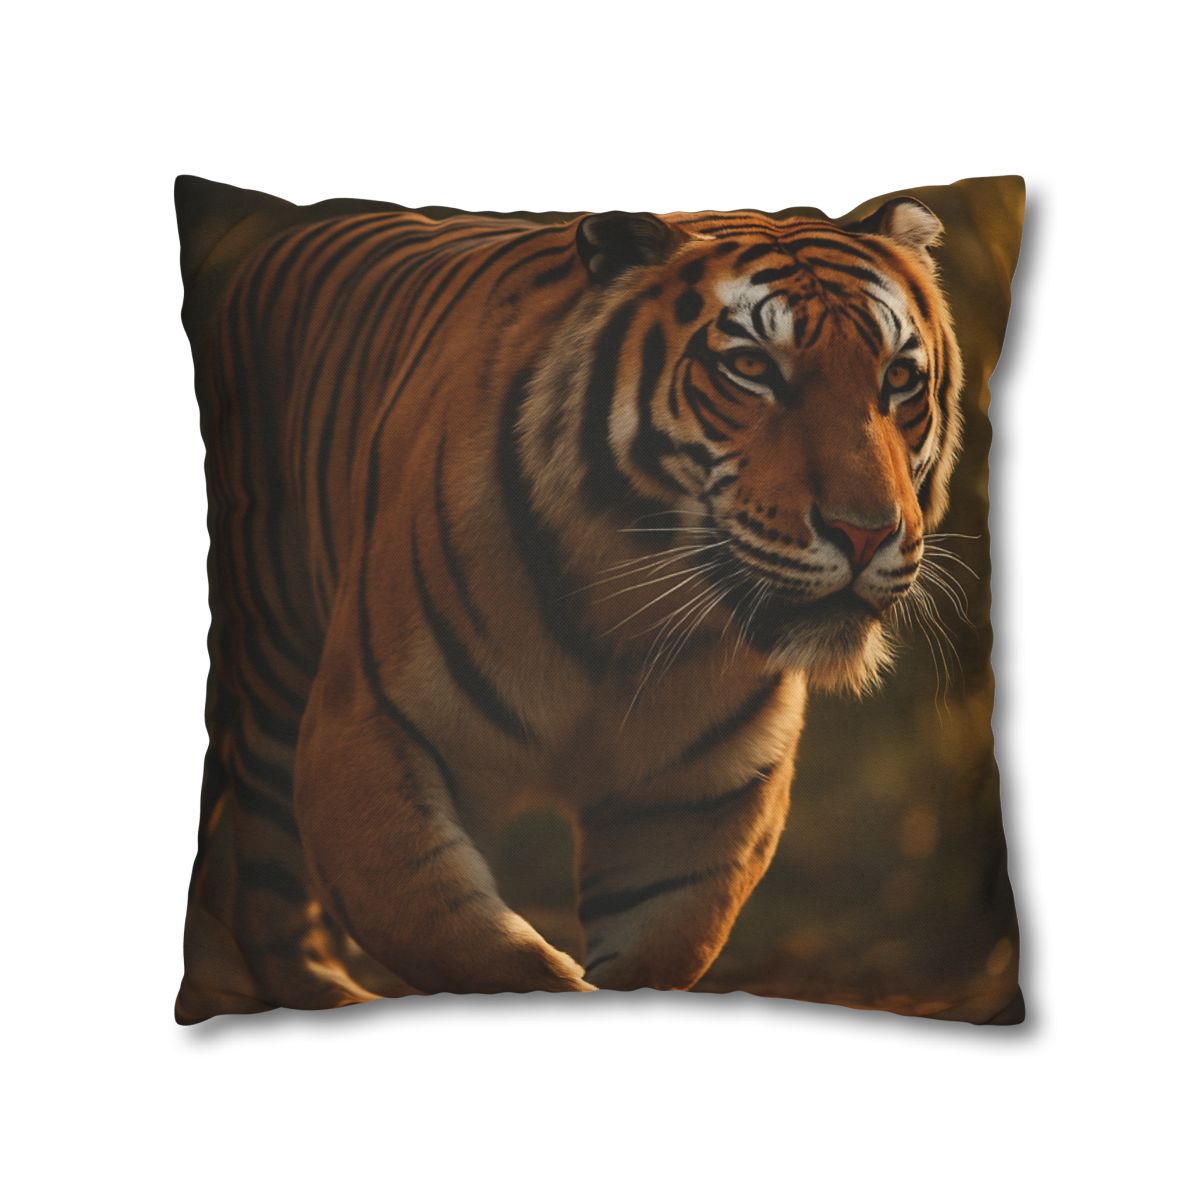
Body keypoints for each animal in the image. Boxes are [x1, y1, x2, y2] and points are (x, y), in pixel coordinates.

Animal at [177, 184, 962, 1020]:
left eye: (899, 379)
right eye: (750, 367)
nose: (866, 532)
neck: (627, 618)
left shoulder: (695, 802)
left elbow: (659, 945)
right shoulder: (364, 732)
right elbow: (457, 936)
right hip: (274, 675)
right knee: (263, 866)